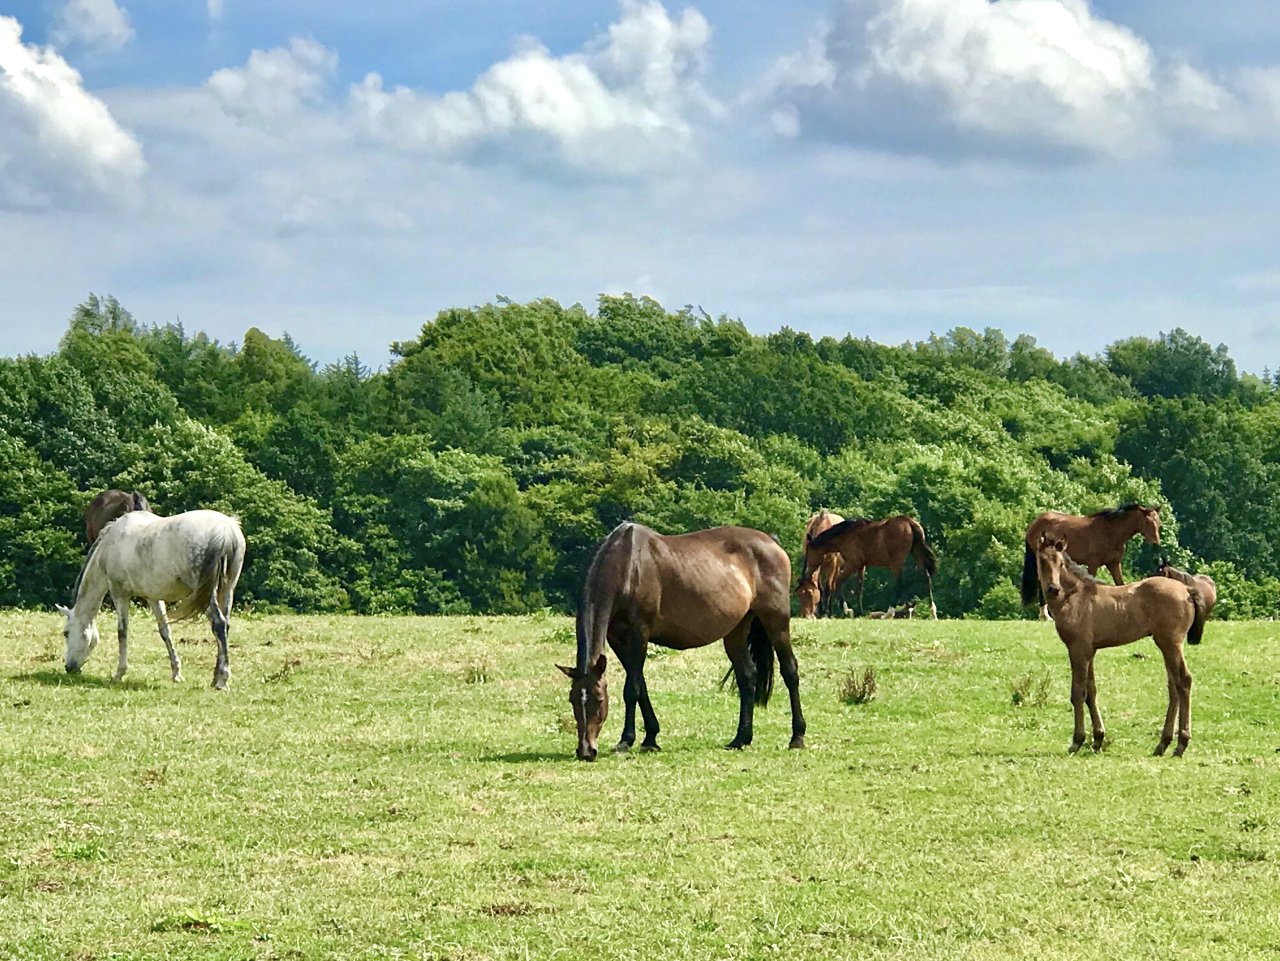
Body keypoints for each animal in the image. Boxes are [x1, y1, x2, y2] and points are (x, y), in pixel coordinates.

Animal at [58, 511, 247, 690]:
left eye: (66, 632)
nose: (69, 667)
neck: (109, 546)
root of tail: (226, 530)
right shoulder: (154, 598)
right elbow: (165, 632)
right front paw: (176, 673)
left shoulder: (120, 594)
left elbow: (122, 632)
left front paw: (119, 673)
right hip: (227, 590)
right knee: (224, 626)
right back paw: (216, 678)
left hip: (206, 594)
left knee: (218, 624)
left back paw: (222, 680)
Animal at [555, 522, 803, 762]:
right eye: (572, 700)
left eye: (599, 699)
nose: (586, 751)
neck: (627, 565)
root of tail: (771, 541)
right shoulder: (617, 639)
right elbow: (641, 684)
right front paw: (651, 737)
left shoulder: (639, 634)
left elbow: (631, 689)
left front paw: (626, 740)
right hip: (736, 631)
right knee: (747, 677)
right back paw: (740, 738)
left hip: (776, 622)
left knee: (790, 671)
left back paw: (797, 737)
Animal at [798, 514, 942, 619]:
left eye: (809, 551)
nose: (807, 571)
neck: (845, 535)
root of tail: (908, 521)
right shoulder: (861, 566)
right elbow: (859, 588)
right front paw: (859, 612)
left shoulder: (853, 563)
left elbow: (837, 583)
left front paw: (847, 610)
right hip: (916, 554)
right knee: (927, 578)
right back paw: (933, 612)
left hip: (896, 563)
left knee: (899, 584)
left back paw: (889, 613)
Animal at [1018, 499, 1162, 619]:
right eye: (1147, 522)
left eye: (1158, 522)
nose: (1156, 543)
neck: (1110, 532)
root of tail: (1033, 524)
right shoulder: (1093, 564)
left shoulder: (1114, 564)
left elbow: (1120, 584)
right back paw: (1045, 616)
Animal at [1034, 537, 1203, 757]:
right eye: (1042, 561)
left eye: (1060, 563)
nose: (1053, 589)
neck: (1075, 597)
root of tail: (1187, 590)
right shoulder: (1090, 650)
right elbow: (1091, 691)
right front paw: (1097, 739)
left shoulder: (1078, 649)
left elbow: (1078, 693)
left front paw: (1077, 741)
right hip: (1166, 645)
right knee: (1173, 686)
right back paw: (1163, 744)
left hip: (1171, 643)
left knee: (1184, 681)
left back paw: (1181, 744)